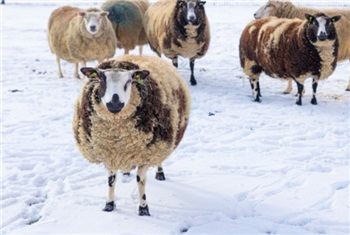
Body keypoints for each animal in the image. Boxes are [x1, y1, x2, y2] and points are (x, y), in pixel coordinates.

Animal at [72, 54, 190, 215]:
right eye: (101, 80)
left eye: (129, 81)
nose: (114, 103)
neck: (117, 137)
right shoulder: (109, 153)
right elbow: (111, 180)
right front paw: (109, 205)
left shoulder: (145, 154)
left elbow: (140, 180)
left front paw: (143, 208)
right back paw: (126, 173)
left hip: (163, 140)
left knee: (159, 160)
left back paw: (159, 172)